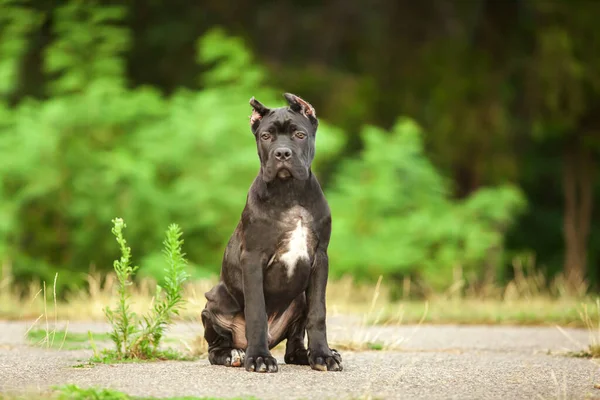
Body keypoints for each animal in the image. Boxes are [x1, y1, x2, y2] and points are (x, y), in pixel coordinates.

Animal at [202, 93, 342, 372]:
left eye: (300, 134)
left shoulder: (320, 258)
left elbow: (318, 313)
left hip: (299, 298)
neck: (289, 192)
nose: (282, 153)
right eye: (266, 136)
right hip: (213, 302)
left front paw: (322, 355)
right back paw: (234, 354)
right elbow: (256, 310)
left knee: (293, 343)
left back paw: (305, 355)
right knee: (215, 348)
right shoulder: (253, 258)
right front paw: (259, 358)